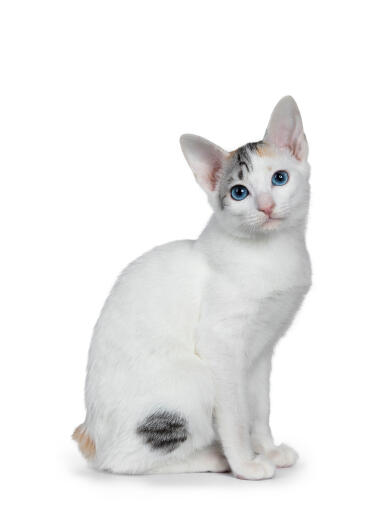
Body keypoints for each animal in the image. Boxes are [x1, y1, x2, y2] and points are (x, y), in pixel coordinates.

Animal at [74, 96, 312, 480]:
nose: (266, 206)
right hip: (195, 377)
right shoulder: (220, 343)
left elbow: (259, 407)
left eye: (280, 178)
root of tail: (90, 436)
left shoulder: (261, 350)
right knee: (124, 462)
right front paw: (245, 463)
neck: (270, 251)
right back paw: (213, 459)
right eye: (239, 192)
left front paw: (269, 449)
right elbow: (235, 414)